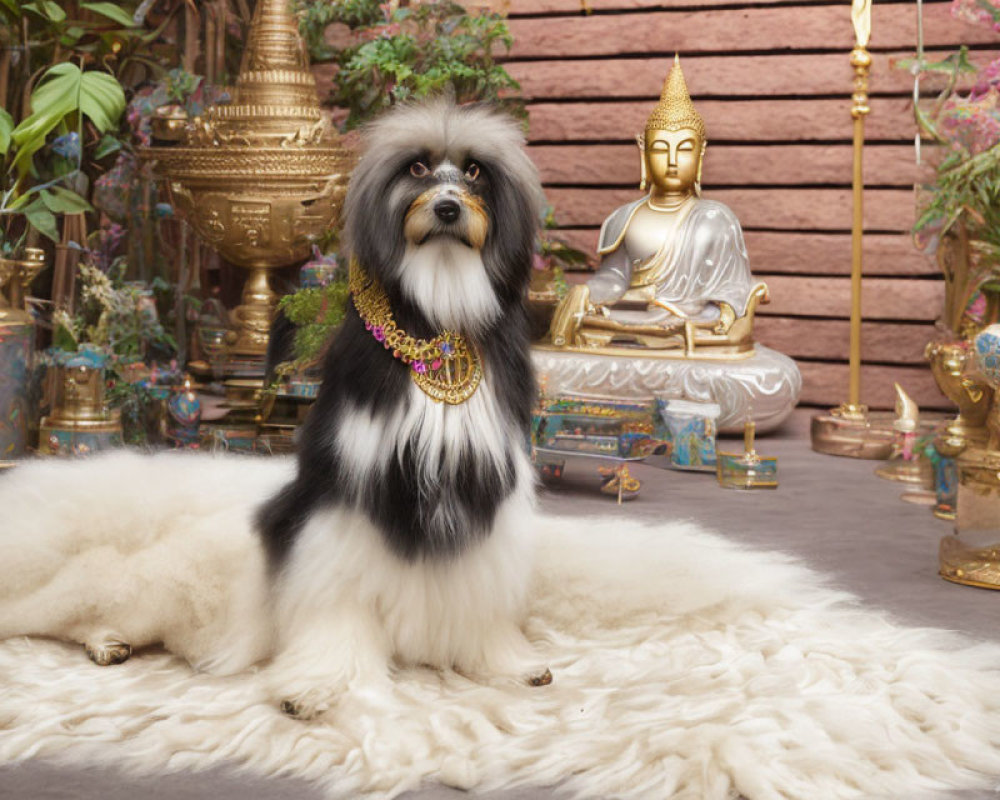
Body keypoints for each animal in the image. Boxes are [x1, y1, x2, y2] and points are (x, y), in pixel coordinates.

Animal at [0, 100, 548, 720]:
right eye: (417, 168)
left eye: (476, 171)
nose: (448, 206)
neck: (438, 313)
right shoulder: (342, 499)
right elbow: (339, 601)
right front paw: (320, 685)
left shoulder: (484, 495)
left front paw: (502, 661)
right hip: (136, 584)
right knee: (66, 612)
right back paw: (104, 640)